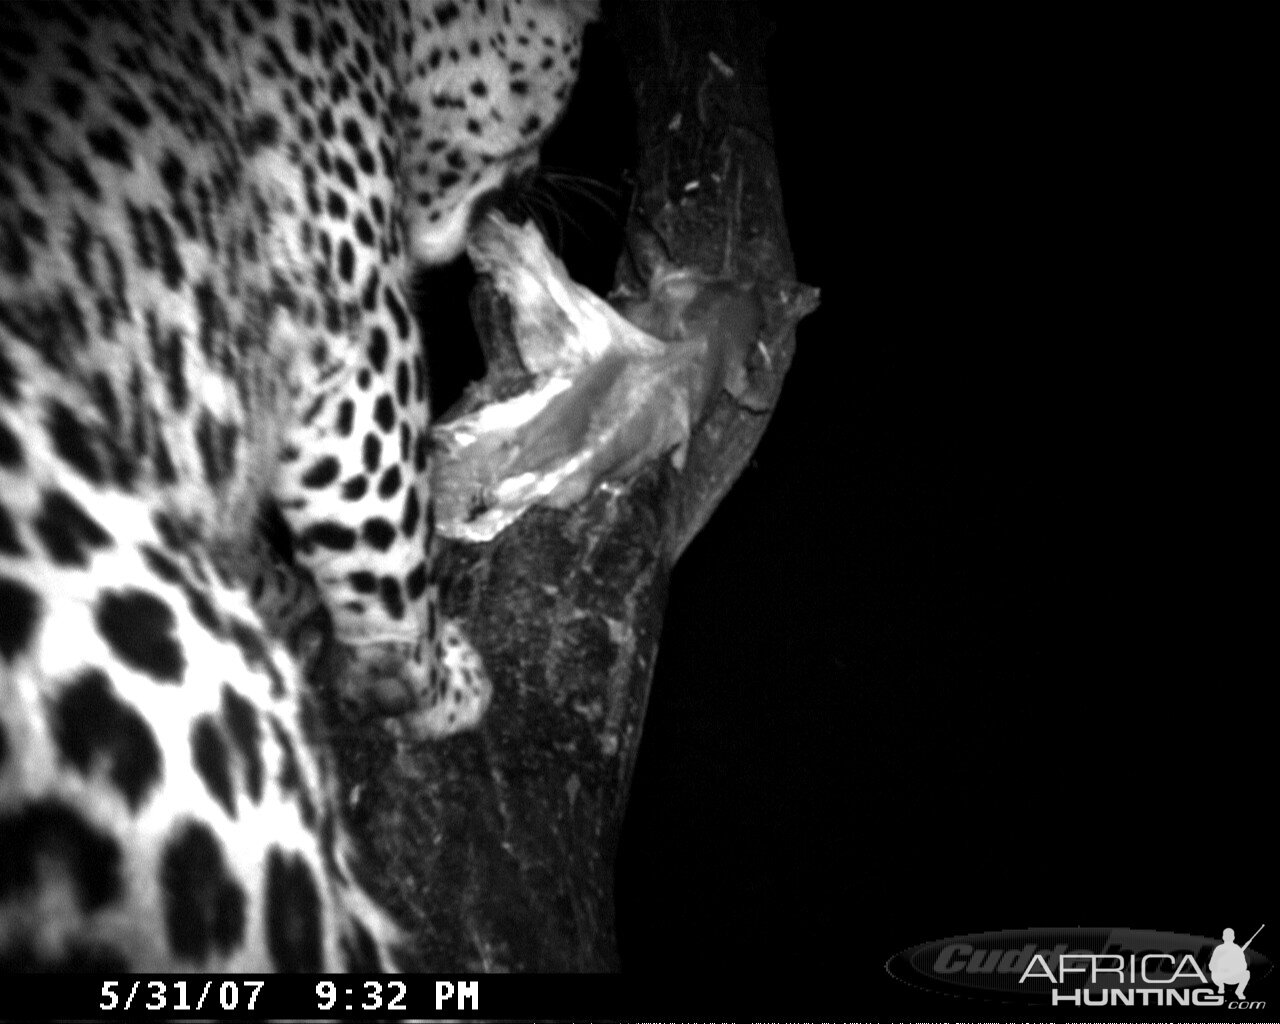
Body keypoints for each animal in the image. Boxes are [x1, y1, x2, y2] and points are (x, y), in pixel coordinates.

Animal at [0, 0, 596, 977]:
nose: (528, 184)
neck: (379, 38)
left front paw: (291, 597)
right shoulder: (355, 328)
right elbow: (388, 532)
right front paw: (428, 681)